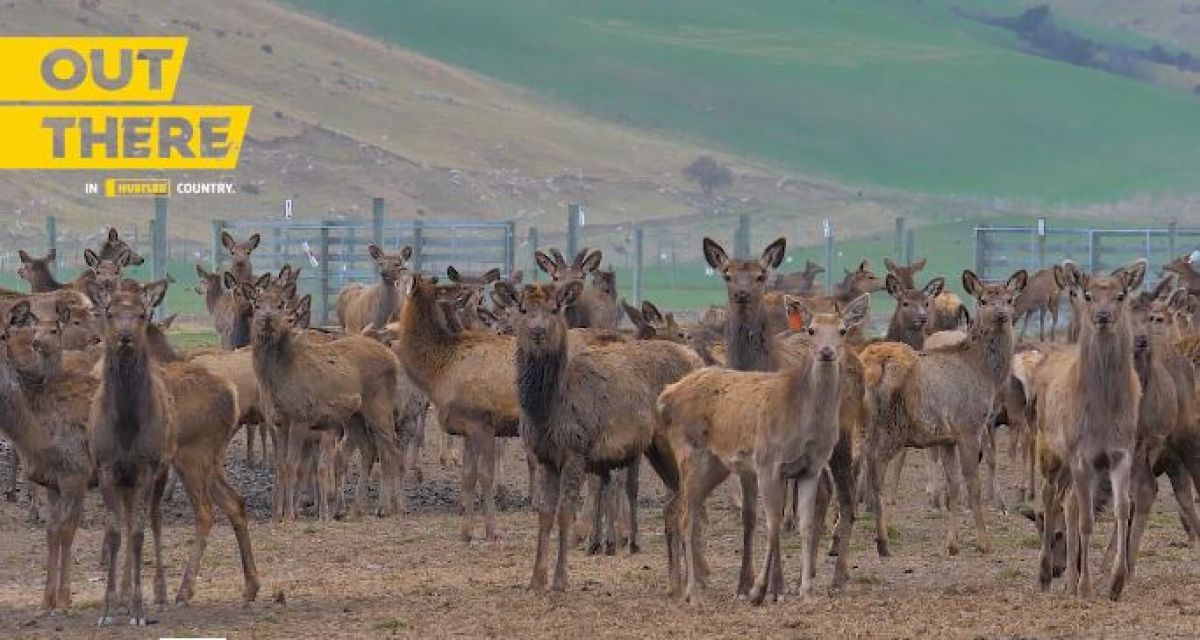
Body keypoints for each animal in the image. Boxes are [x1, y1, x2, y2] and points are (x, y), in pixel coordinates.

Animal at [662, 294, 868, 602]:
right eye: (811, 330)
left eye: (843, 330)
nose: (827, 352)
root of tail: (667, 394)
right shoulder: (767, 463)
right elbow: (772, 524)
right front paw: (761, 590)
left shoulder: (810, 467)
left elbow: (804, 524)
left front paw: (804, 591)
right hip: (689, 453)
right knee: (685, 516)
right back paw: (693, 593)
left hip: (715, 465)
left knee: (688, 512)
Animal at [859, 266, 1027, 557]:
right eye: (983, 300)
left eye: (1009, 299)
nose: (1001, 315)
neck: (984, 373)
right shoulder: (968, 426)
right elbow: (972, 485)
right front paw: (984, 542)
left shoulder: (947, 437)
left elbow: (953, 488)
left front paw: (952, 543)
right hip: (894, 424)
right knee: (875, 466)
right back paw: (882, 540)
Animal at [1032, 258, 1142, 597]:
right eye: (1088, 295)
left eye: (1121, 295)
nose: (1103, 316)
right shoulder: (1081, 455)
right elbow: (1086, 519)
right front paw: (1084, 586)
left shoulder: (1122, 453)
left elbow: (1122, 508)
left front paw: (1116, 582)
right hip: (1048, 449)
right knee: (1049, 498)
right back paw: (1045, 575)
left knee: (1066, 502)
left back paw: (1066, 578)